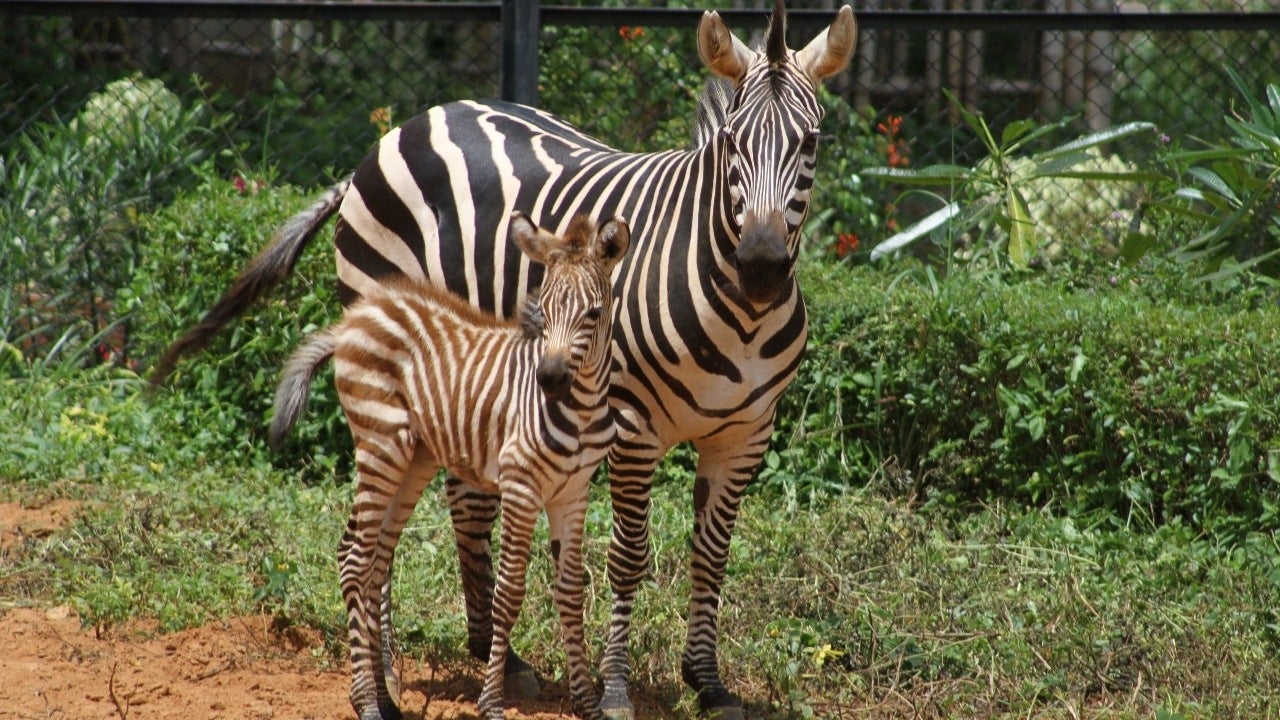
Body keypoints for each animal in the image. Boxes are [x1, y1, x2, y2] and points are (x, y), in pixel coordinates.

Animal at [270, 213, 631, 720]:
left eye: (594, 314)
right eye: (541, 312)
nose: (550, 379)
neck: (577, 412)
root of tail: (356, 316)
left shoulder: (573, 492)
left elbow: (570, 592)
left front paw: (586, 702)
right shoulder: (520, 486)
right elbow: (509, 593)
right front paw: (492, 702)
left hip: (413, 459)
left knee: (374, 559)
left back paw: (385, 698)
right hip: (381, 444)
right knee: (355, 558)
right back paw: (366, 702)